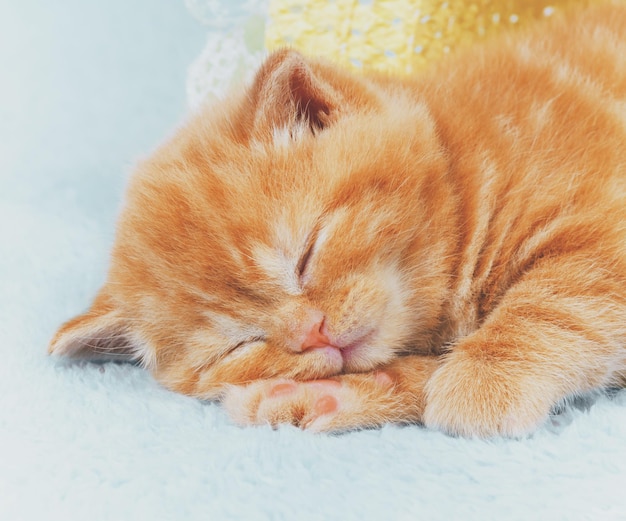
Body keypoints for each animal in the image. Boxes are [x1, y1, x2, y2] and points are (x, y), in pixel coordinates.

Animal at [48, 2, 624, 436]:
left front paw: (484, 378)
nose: (316, 334)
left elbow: (559, 299)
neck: (466, 166)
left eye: (306, 255)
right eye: (239, 344)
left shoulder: (605, 223)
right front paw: (338, 392)